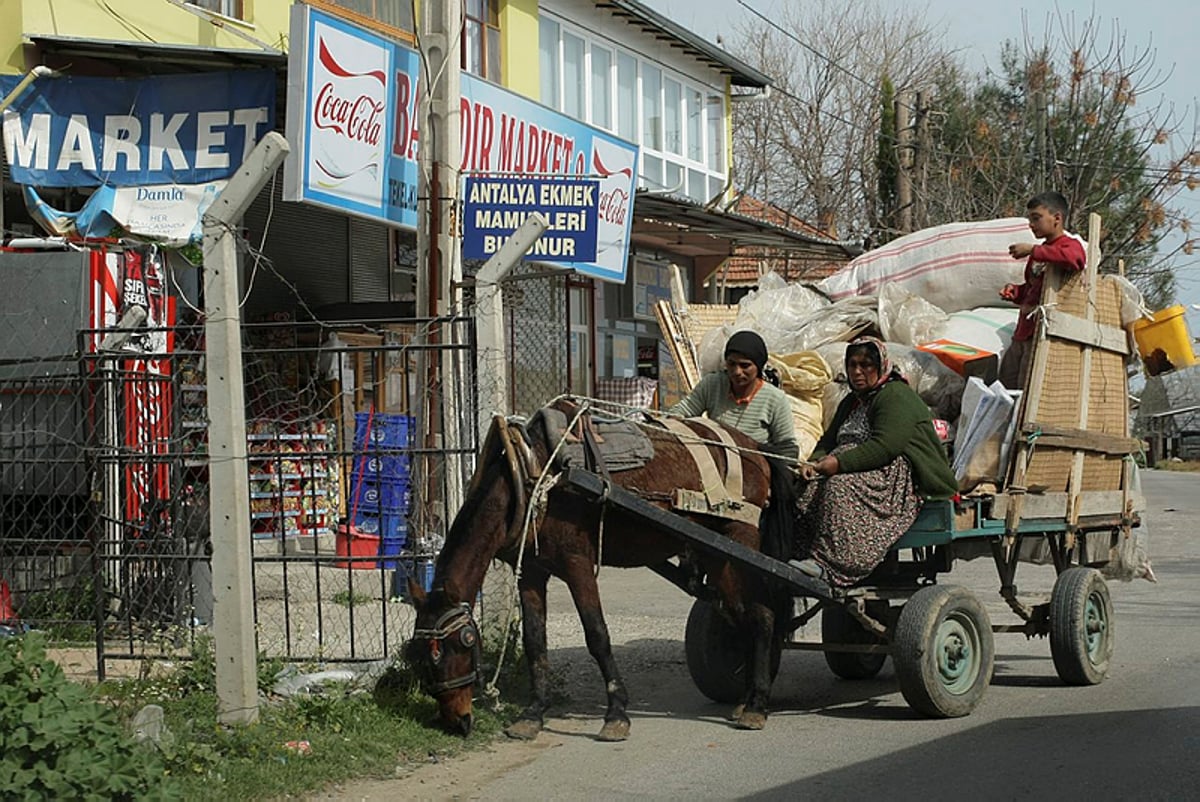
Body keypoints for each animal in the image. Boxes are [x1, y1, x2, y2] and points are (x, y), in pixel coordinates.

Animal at [408, 398, 792, 744]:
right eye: (420, 653)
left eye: (460, 643)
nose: (456, 721)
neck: (534, 476)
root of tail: (756, 449)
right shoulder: (531, 571)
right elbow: (535, 641)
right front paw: (533, 713)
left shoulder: (577, 563)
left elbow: (597, 636)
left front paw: (617, 714)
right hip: (716, 553)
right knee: (740, 614)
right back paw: (745, 698)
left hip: (742, 540)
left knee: (762, 615)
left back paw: (756, 705)